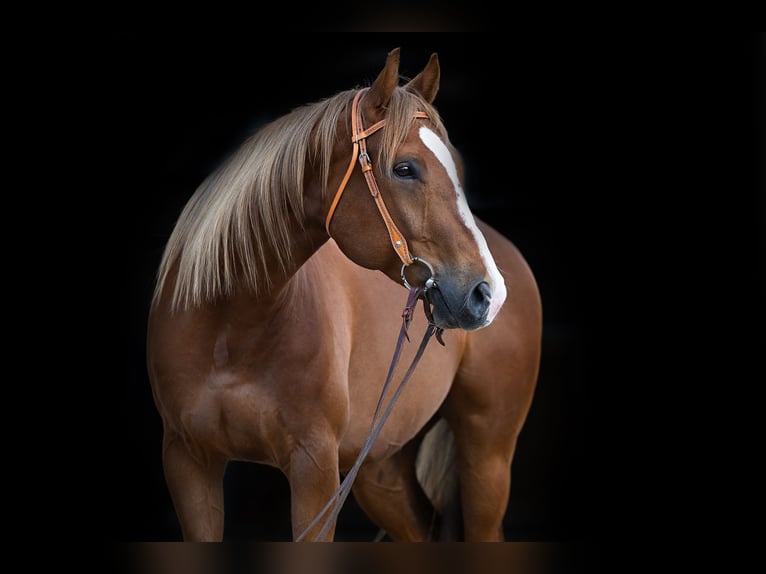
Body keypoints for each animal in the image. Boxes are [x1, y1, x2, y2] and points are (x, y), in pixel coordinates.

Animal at [147, 47, 542, 542]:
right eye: (404, 168)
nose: (486, 293)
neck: (229, 329)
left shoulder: (315, 469)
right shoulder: (187, 463)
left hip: (487, 457)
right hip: (379, 467)